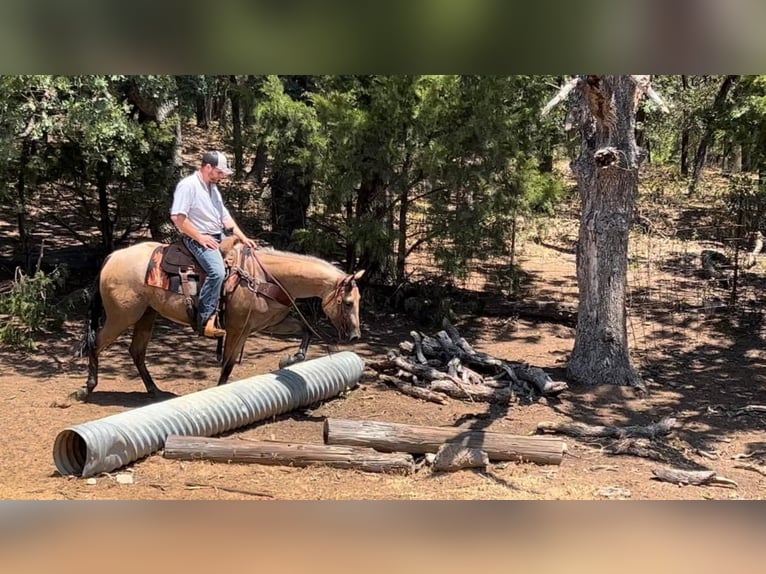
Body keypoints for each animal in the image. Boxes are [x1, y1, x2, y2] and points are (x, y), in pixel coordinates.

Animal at [76, 236, 364, 402]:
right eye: (348, 303)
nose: (354, 336)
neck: (265, 277)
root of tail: (112, 257)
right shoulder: (238, 329)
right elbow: (227, 365)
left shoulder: (270, 323)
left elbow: (306, 330)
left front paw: (289, 359)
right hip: (121, 316)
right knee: (95, 344)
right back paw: (86, 389)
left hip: (146, 314)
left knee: (136, 351)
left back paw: (155, 391)